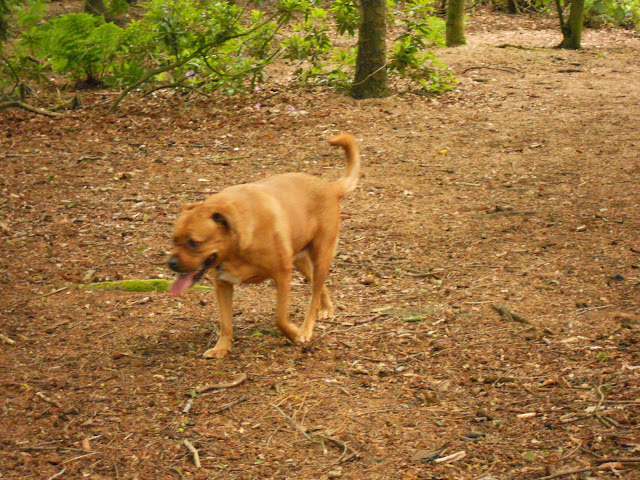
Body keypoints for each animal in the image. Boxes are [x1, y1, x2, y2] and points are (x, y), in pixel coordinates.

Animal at [168, 133, 360, 358]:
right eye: (174, 240)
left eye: (194, 243)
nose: (171, 264)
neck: (237, 245)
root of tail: (329, 187)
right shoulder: (222, 284)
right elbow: (226, 323)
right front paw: (221, 347)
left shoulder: (282, 275)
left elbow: (280, 318)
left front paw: (294, 334)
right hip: (302, 261)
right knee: (319, 286)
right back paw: (327, 308)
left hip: (321, 256)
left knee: (313, 296)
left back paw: (306, 328)